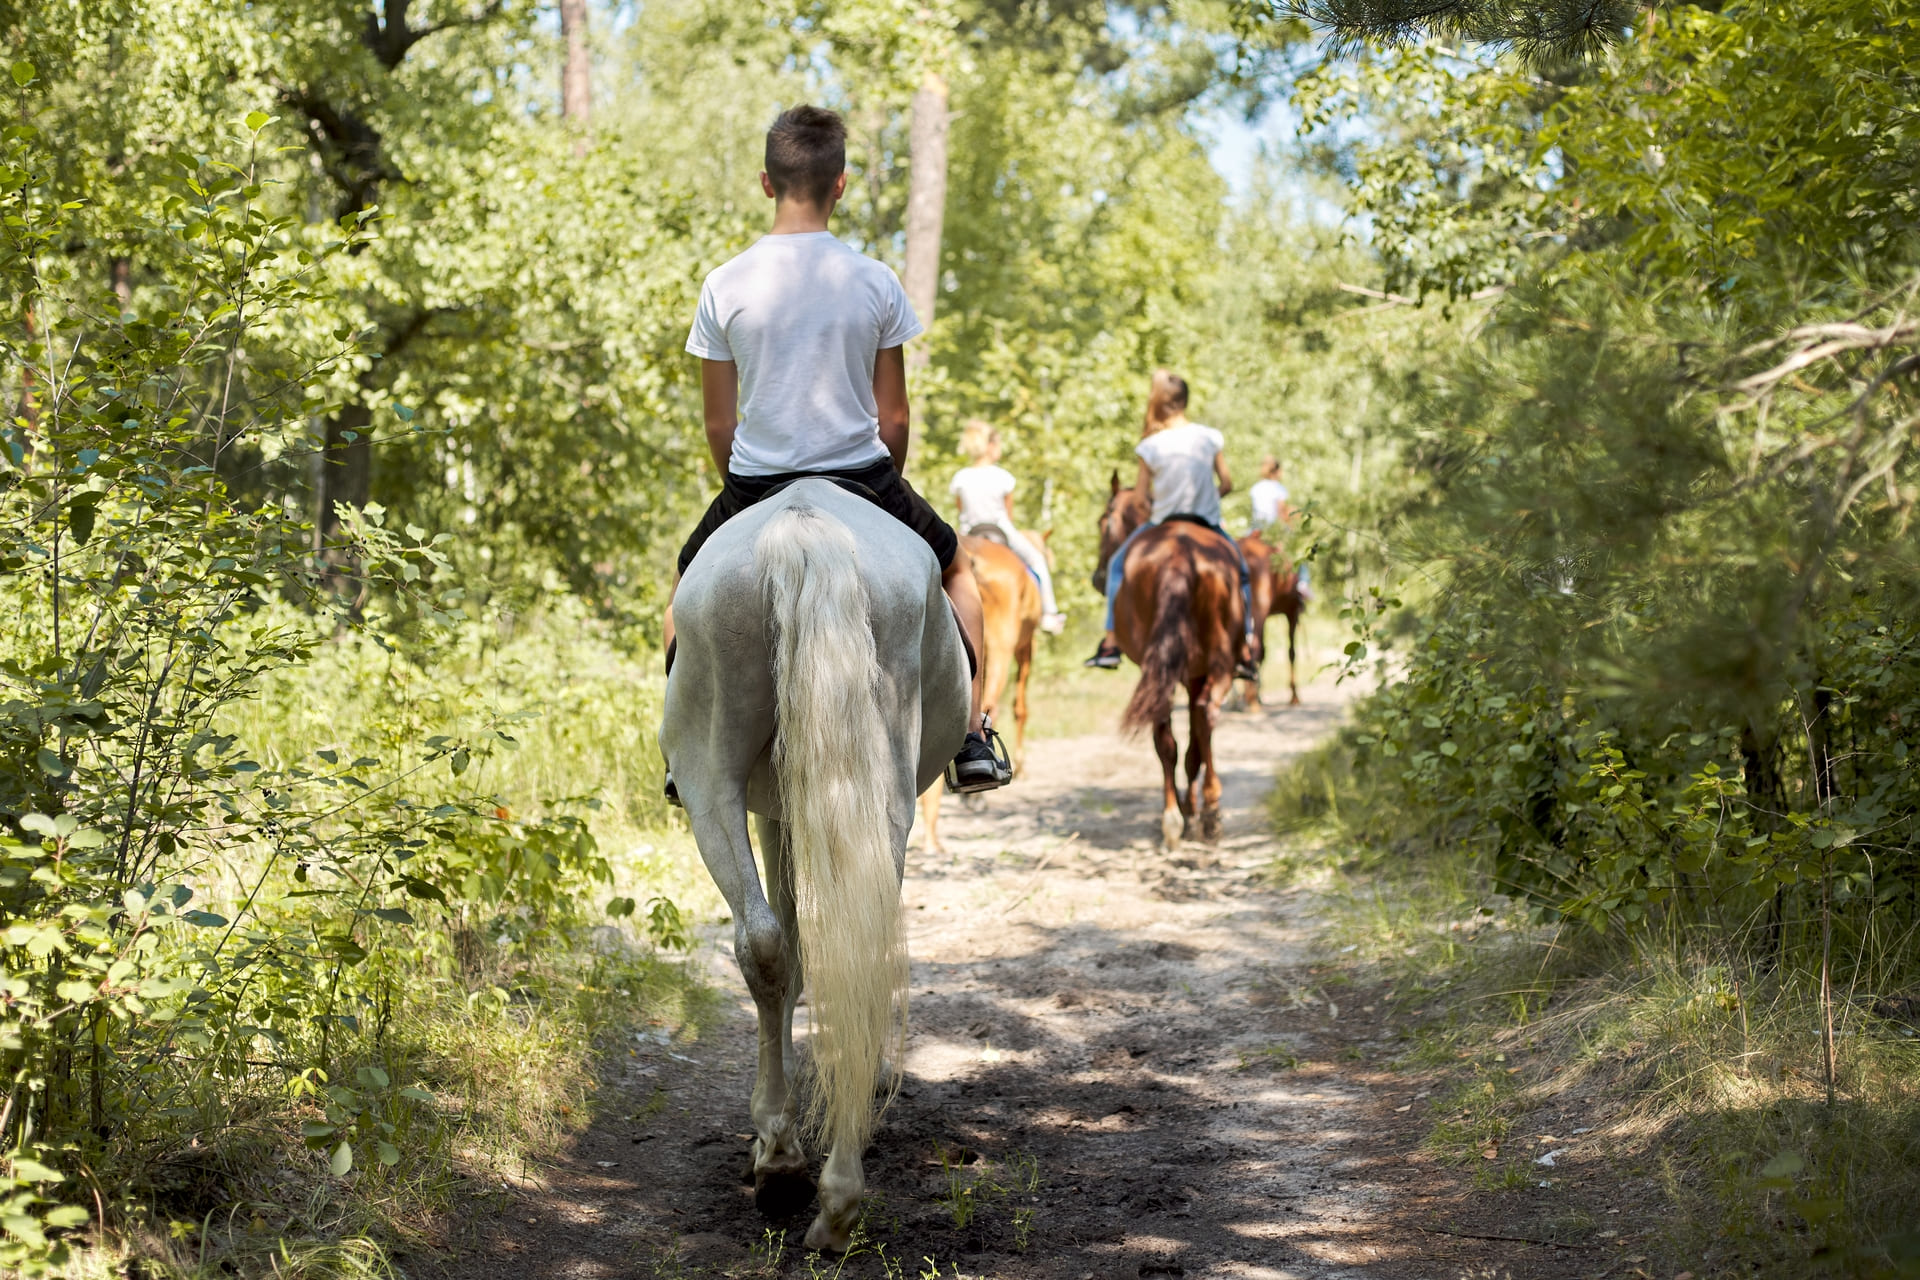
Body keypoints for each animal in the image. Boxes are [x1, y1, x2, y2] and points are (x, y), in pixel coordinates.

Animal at [660, 479, 967, 1251]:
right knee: (848, 947)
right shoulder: (784, 812)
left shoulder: (776, 808)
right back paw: (830, 1192)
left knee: (764, 944)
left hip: (709, 781)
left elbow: (787, 953)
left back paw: (788, 1165)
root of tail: (803, 523)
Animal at [1090, 474, 1251, 852]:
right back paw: (1204, 812)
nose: (1098, 578)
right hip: (1216, 661)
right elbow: (1194, 745)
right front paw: (1192, 808)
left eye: (1103, 523)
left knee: (1169, 737)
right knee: (1203, 717)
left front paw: (1186, 809)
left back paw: (1176, 818)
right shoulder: (1194, 675)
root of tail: (1179, 553)